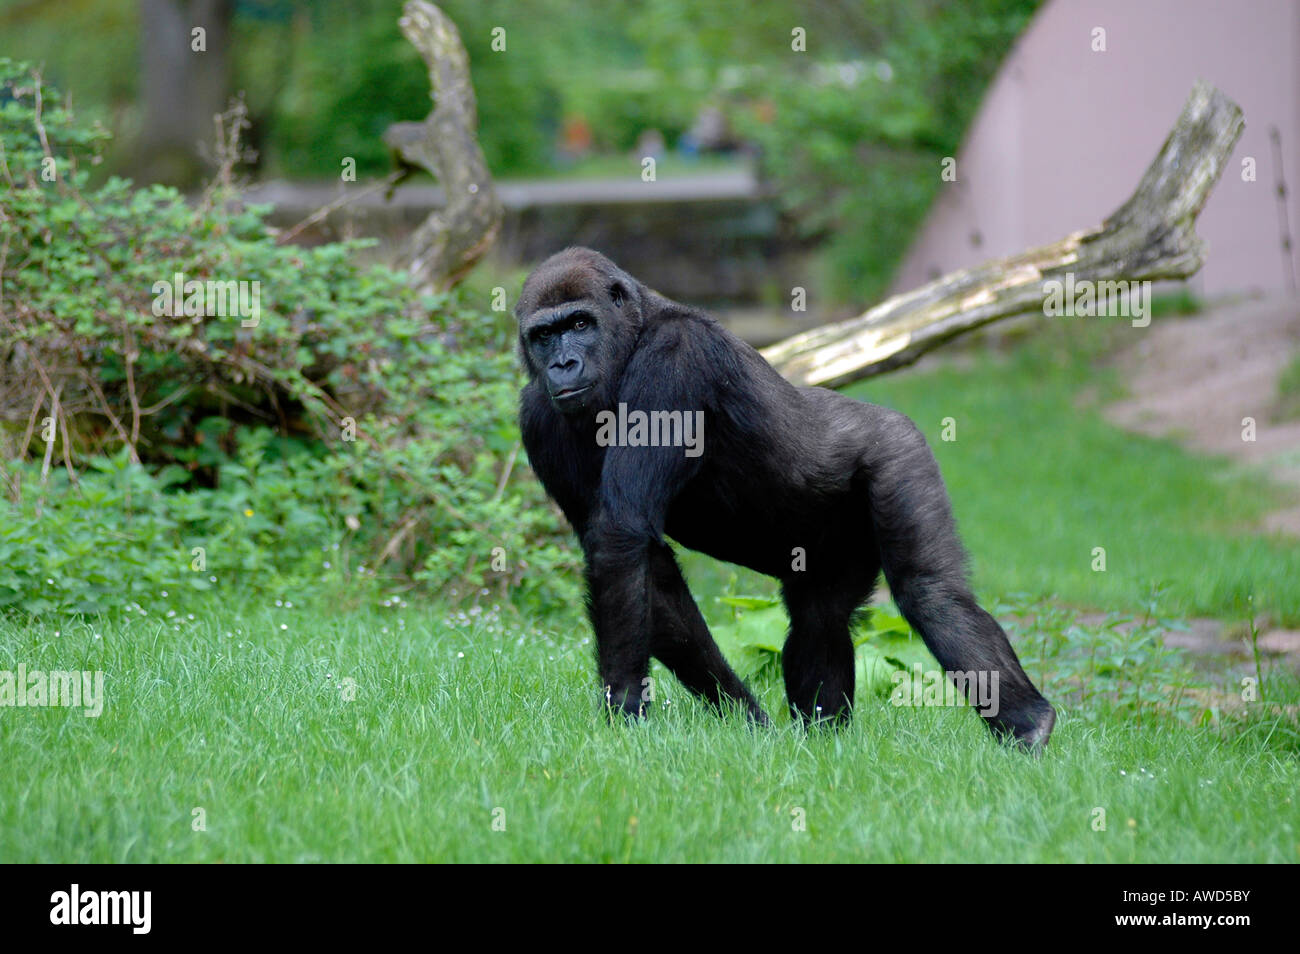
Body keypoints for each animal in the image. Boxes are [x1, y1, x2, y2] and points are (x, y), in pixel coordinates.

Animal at [512, 248, 1050, 753]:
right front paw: (742, 715)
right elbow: (648, 572)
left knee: (931, 594)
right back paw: (823, 739)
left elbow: (621, 532)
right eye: (544, 335)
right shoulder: (536, 416)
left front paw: (624, 708)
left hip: (899, 449)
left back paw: (1029, 723)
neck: (634, 334)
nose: (563, 364)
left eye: (580, 324)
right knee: (822, 617)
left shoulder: (677, 355)